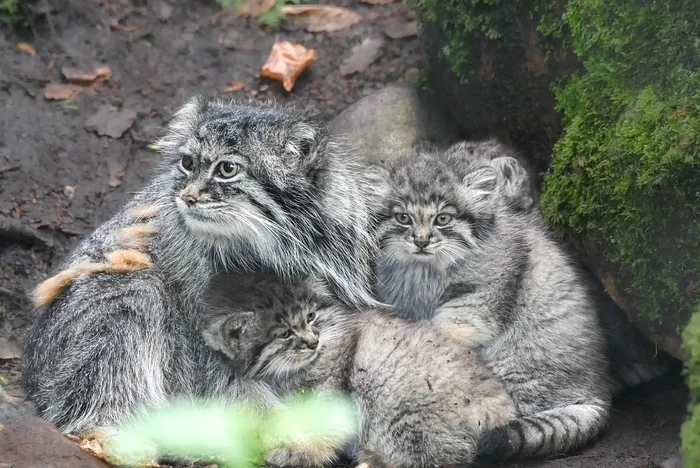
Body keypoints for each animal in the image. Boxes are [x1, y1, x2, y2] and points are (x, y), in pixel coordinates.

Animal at [23, 97, 378, 434]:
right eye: (187, 163)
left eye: (227, 169)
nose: (187, 197)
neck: (263, 247)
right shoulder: (207, 331)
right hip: (131, 289)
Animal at [202, 272, 516, 466]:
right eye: (285, 333)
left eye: (311, 316)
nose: (313, 342)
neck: (284, 374)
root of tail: (499, 401)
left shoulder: (332, 387)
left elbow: (323, 426)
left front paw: (306, 452)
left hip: (397, 397)